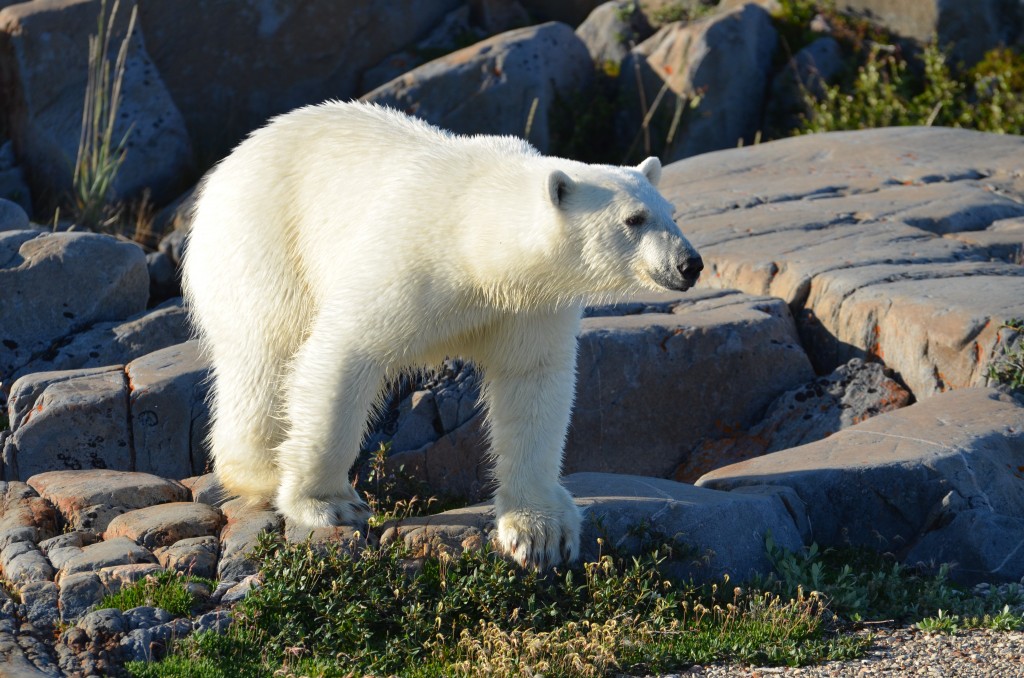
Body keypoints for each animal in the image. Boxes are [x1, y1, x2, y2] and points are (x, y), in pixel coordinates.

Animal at [180, 100, 700, 569]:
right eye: (634, 219)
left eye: (672, 212)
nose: (689, 264)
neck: (475, 239)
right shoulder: (407, 262)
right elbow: (345, 353)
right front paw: (328, 503)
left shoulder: (529, 305)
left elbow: (532, 383)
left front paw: (540, 532)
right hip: (262, 243)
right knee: (263, 354)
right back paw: (259, 470)